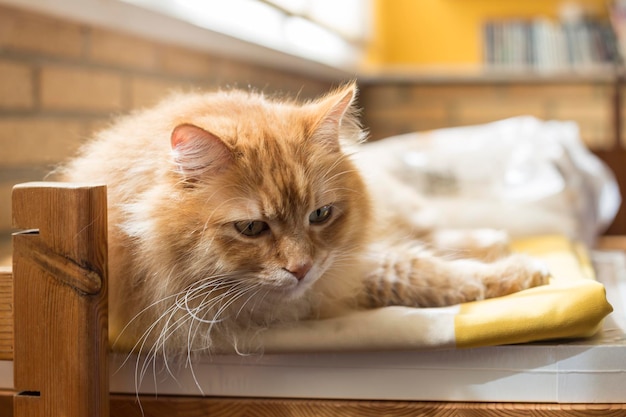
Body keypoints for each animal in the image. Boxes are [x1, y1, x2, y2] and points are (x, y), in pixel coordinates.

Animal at [58, 83, 544, 356]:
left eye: (320, 215)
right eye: (252, 228)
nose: (302, 269)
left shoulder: (346, 263)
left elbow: (420, 265)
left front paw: (521, 271)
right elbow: (419, 272)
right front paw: (516, 274)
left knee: (431, 229)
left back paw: (493, 239)